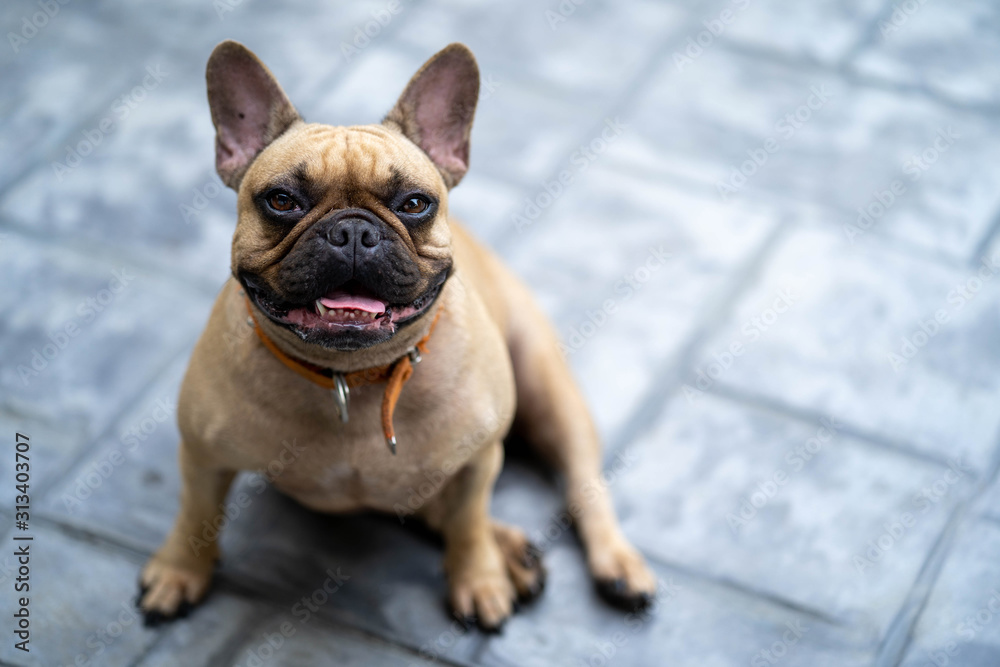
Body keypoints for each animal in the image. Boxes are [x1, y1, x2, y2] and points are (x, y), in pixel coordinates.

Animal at [141, 39, 656, 628]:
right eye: (281, 200)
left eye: (414, 203)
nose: (352, 231)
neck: (352, 378)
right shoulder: (202, 456)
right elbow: (196, 514)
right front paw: (179, 571)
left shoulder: (479, 461)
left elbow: (469, 524)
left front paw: (479, 579)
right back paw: (512, 551)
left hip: (550, 392)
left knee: (580, 483)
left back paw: (612, 562)